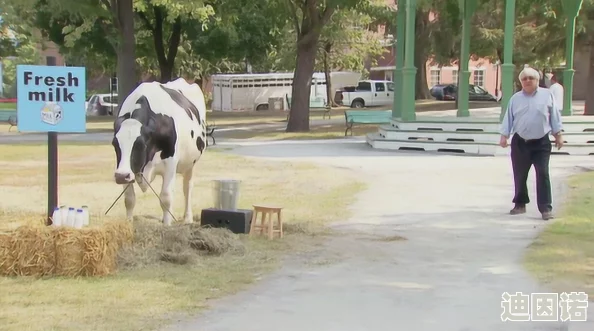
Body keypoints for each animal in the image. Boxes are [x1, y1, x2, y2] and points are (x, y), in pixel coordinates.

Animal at [112, 79, 207, 227]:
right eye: (115, 144)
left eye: (141, 145)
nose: (121, 176)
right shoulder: (126, 168)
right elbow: (129, 199)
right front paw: (129, 223)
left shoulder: (170, 165)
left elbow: (166, 197)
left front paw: (167, 225)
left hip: (190, 164)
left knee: (187, 188)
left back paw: (187, 218)